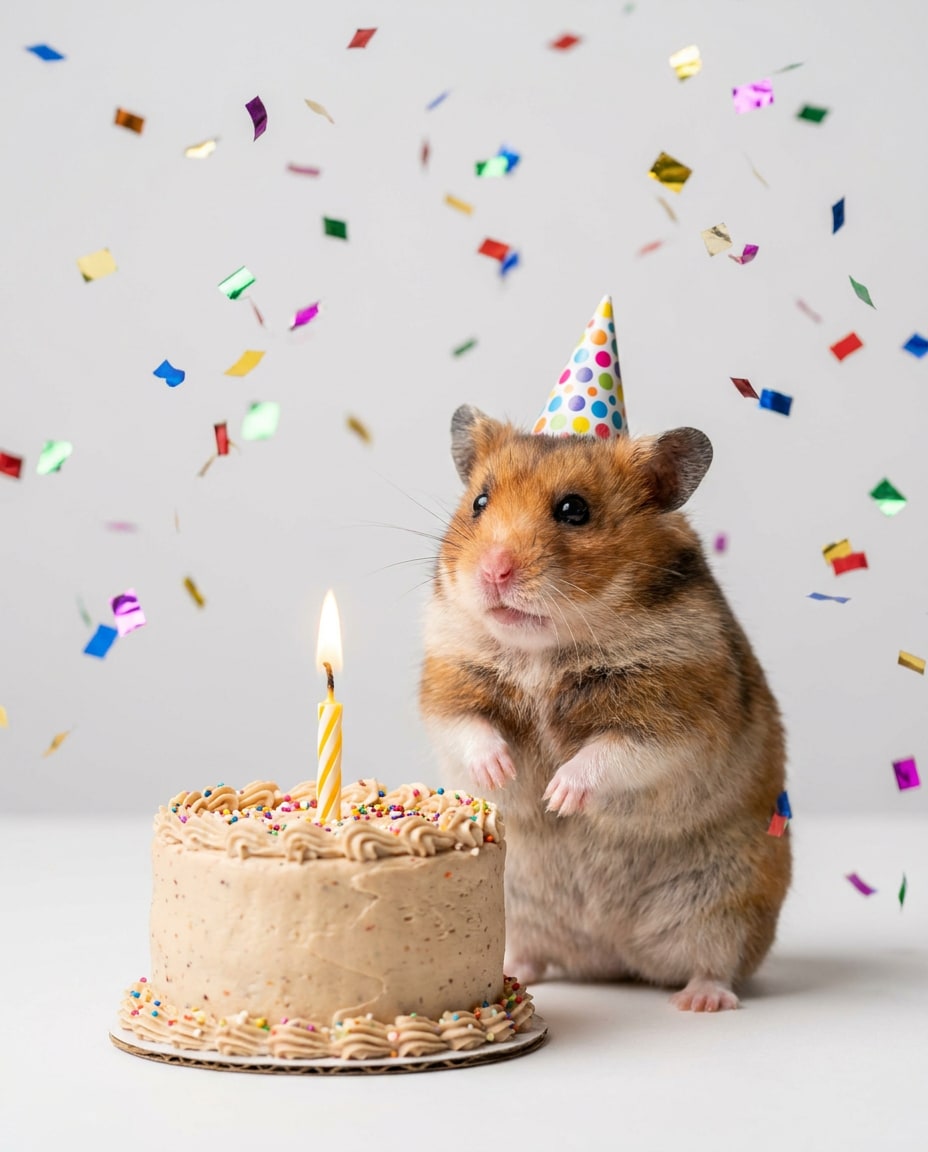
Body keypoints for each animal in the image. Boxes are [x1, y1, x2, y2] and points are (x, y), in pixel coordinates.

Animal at [419, 405, 791, 1012]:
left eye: (574, 510)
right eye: (479, 502)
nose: (493, 572)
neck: (546, 649)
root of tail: (614, 955)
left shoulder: (670, 713)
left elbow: (610, 754)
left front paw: (557, 796)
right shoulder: (449, 679)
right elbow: (470, 728)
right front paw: (504, 772)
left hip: (726, 903)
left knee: (716, 963)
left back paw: (699, 1001)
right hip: (519, 907)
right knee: (535, 952)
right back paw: (518, 967)